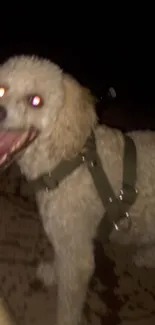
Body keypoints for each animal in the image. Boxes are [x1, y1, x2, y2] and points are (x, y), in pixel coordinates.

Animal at [0, 55, 155, 324]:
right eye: (1, 89)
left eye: (35, 101)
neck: (66, 163)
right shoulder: (65, 240)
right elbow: (59, 263)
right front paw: (52, 274)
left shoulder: (78, 255)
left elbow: (69, 303)